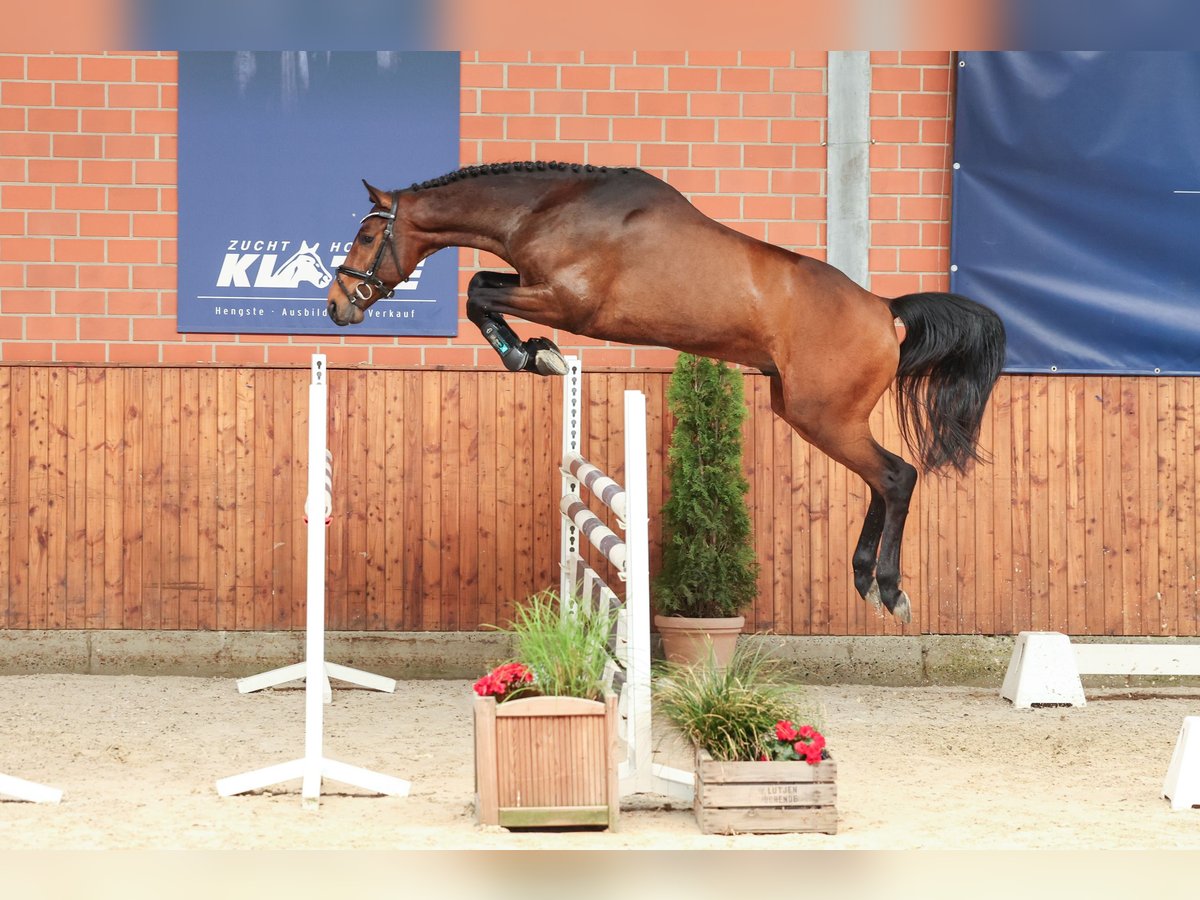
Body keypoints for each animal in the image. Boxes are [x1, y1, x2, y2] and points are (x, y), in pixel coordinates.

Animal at [326, 162, 1003, 624]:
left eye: (366, 237)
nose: (336, 307)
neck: (548, 208)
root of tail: (883, 310)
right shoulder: (534, 286)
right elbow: (483, 286)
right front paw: (538, 354)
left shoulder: (566, 301)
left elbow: (477, 292)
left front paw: (533, 354)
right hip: (806, 413)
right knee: (881, 482)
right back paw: (864, 578)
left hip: (825, 418)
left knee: (897, 477)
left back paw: (889, 589)